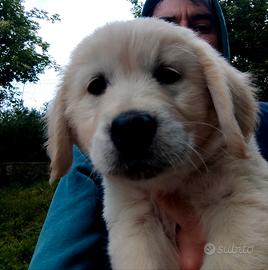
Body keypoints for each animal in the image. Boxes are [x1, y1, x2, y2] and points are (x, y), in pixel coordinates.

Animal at [47, 19, 268, 270]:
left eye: (168, 74)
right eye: (96, 85)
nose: (131, 127)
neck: (172, 182)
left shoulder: (243, 200)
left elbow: (232, 259)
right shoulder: (134, 221)